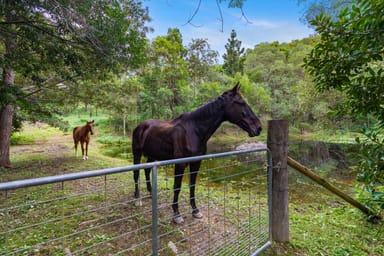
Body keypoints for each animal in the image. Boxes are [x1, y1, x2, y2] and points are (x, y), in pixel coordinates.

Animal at [131, 83, 260, 223]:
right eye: (241, 102)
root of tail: (140, 126)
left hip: (152, 155)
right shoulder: (180, 165)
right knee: (136, 173)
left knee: (147, 171)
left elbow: (192, 185)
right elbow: (177, 186)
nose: (258, 127)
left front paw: (195, 210)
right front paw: (176, 214)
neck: (193, 131)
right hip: (137, 153)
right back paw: (137, 199)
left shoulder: (196, 163)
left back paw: (150, 193)